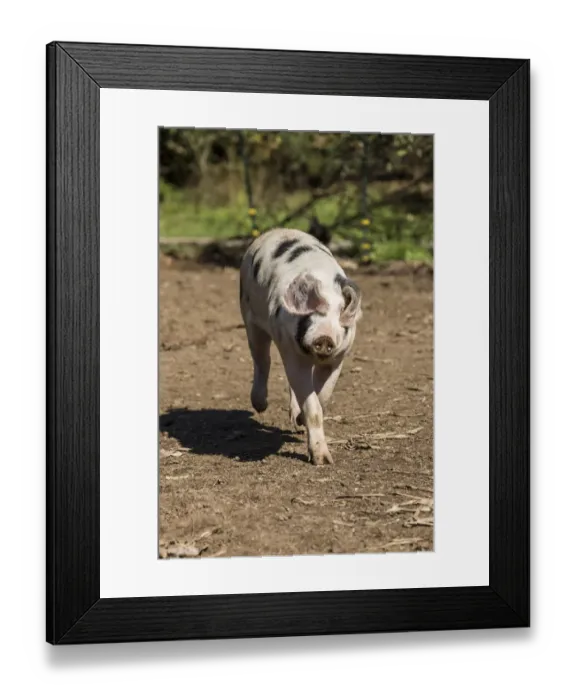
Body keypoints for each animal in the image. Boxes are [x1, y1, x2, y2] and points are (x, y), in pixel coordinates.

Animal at [239, 228, 362, 465]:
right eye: (311, 313)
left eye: (340, 313)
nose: (324, 337)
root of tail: (278, 231)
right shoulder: (291, 353)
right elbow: (313, 406)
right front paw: (322, 461)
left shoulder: (337, 358)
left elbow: (323, 397)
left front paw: (300, 422)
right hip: (249, 316)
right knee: (262, 360)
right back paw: (260, 405)